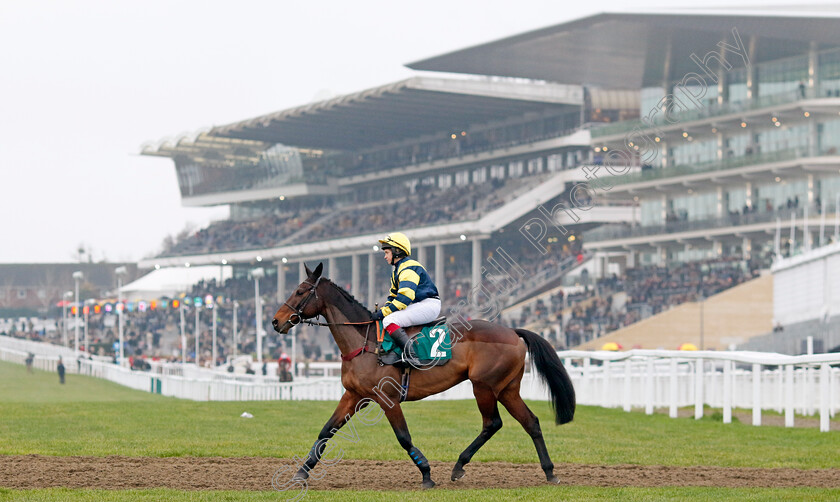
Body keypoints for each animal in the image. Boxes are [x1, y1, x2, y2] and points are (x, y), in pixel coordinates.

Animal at [272, 264, 576, 488]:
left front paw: (427, 475)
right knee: (530, 422)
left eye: (300, 291)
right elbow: (326, 431)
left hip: (484, 386)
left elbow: (403, 437)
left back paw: (459, 466)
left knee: (493, 423)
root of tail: (513, 331)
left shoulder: (388, 400)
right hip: (507, 388)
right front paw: (301, 473)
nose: (276, 321)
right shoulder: (354, 395)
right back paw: (549, 472)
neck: (365, 342)